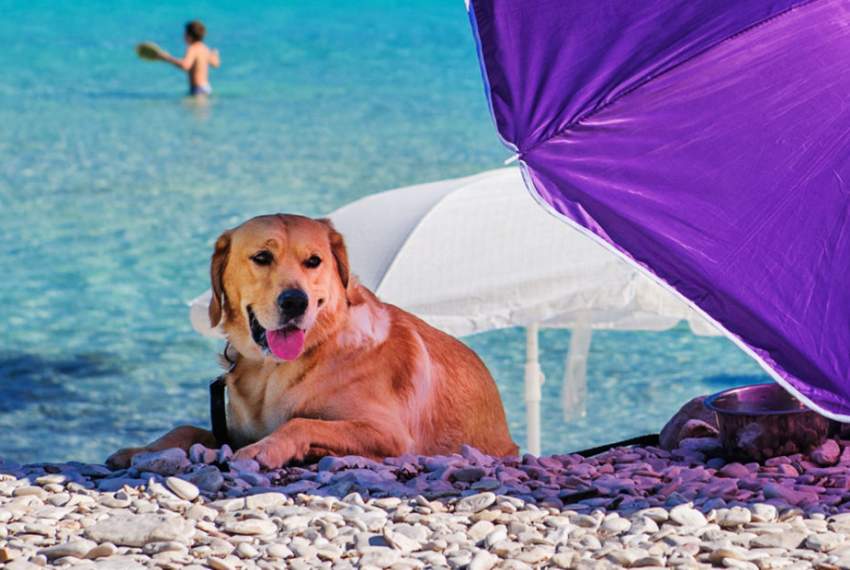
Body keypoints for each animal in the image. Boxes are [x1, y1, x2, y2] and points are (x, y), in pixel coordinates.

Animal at [107, 213, 516, 466]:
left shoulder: (389, 433)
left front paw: (267, 449)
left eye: (314, 261)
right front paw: (141, 449)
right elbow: (187, 428)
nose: (295, 301)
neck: (274, 370)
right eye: (262, 257)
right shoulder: (233, 431)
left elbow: (302, 423)